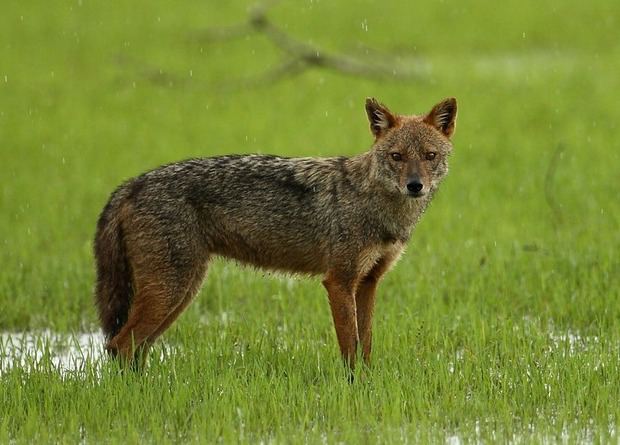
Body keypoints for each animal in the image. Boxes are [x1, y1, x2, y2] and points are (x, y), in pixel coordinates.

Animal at [94, 97, 457, 369]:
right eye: (397, 157)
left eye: (430, 156)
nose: (415, 186)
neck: (378, 205)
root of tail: (132, 183)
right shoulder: (338, 281)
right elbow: (349, 348)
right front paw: (354, 386)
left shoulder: (368, 282)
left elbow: (365, 344)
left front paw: (368, 383)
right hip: (171, 290)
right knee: (119, 345)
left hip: (182, 293)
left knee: (135, 348)